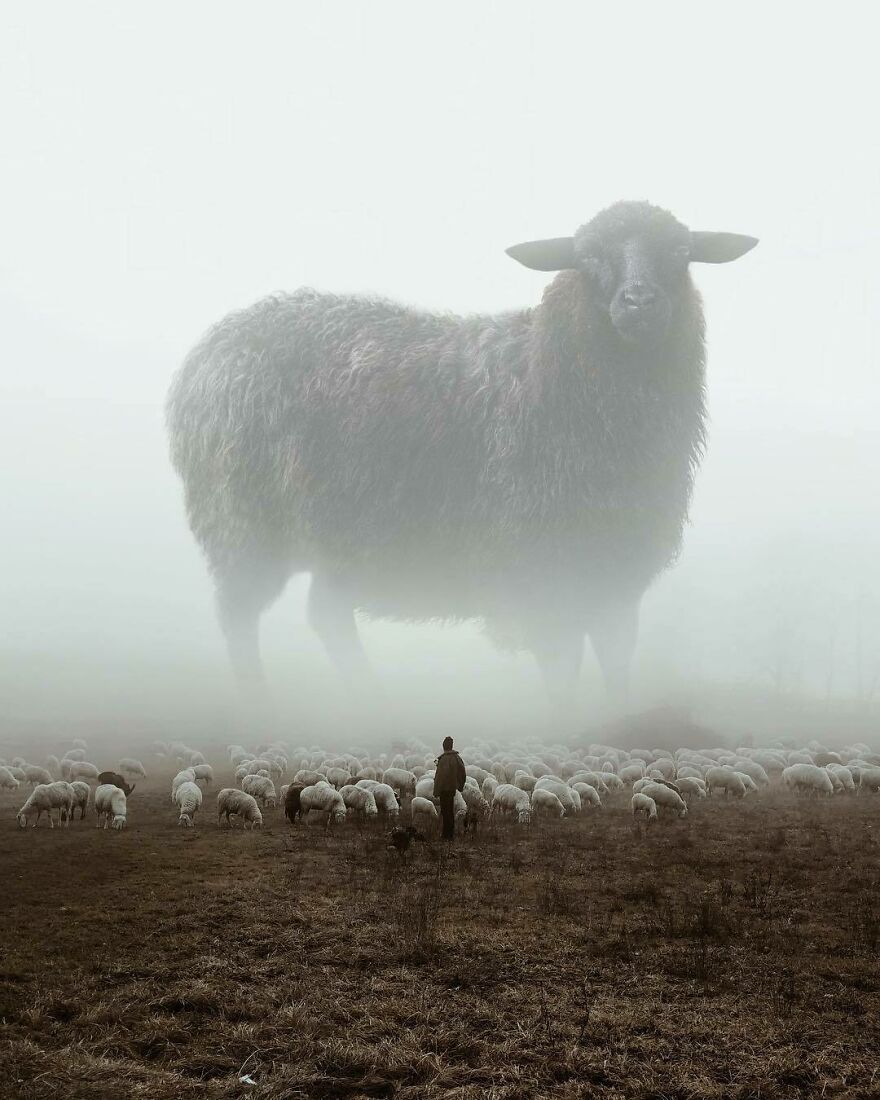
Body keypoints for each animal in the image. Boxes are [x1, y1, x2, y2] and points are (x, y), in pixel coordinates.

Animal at [167, 202, 756, 711]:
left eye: (680, 251)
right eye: (589, 255)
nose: (639, 301)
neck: (549, 377)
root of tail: (207, 350)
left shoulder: (615, 572)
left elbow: (616, 662)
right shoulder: (542, 568)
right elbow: (563, 671)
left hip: (338, 537)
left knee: (326, 617)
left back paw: (373, 706)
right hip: (243, 521)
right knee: (239, 617)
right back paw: (261, 705)